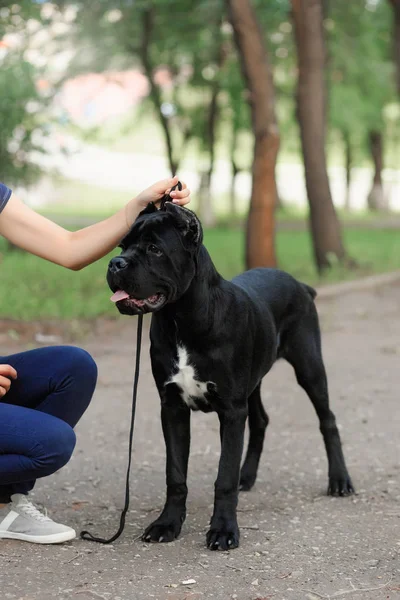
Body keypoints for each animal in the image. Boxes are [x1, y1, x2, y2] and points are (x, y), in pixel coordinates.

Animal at [106, 204, 354, 552]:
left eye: (154, 249)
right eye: (122, 246)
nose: (116, 263)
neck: (181, 319)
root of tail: (299, 284)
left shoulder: (231, 411)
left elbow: (223, 477)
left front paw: (223, 530)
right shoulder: (173, 407)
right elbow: (175, 474)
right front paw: (167, 524)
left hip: (309, 368)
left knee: (327, 419)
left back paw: (340, 480)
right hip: (254, 383)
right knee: (261, 420)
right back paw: (246, 476)